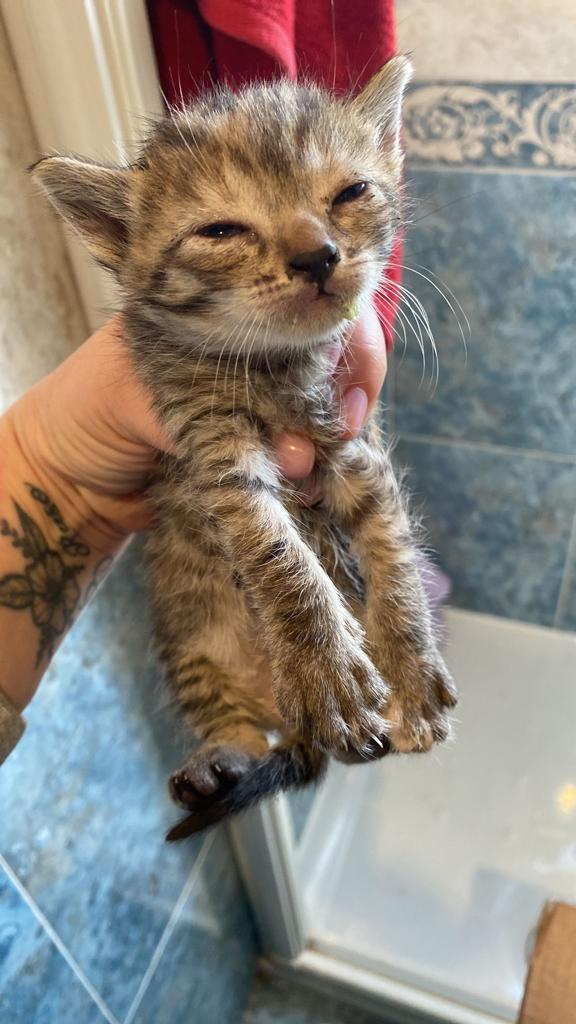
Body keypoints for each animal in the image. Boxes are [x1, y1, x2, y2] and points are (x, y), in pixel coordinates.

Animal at [32, 55, 457, 840]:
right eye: (221, 229)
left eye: (350, 192)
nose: (316, 255)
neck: (276, 366)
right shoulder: (205, 442)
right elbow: (275, 547)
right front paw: (324, 664)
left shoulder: (356, 446)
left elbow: (391, 552)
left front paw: (411, 666)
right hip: (191, 644)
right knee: (238, 726)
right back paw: (222, 759)